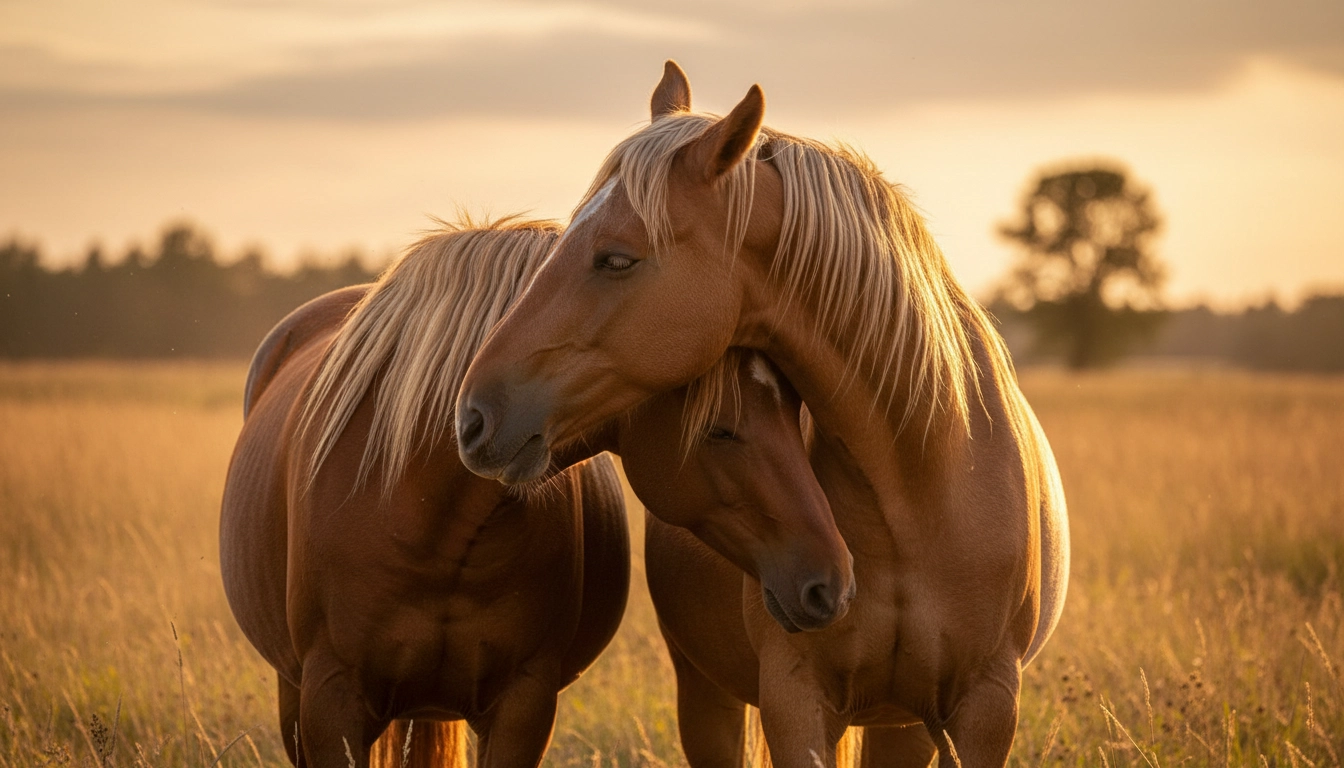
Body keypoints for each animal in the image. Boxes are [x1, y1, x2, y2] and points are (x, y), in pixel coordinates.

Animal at [454, 63, 1070, 768]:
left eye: (617, 258)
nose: (473, 414)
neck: (924, 476)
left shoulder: (988, 707)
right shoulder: (794, 698)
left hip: (903, 724)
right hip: (712, 694)